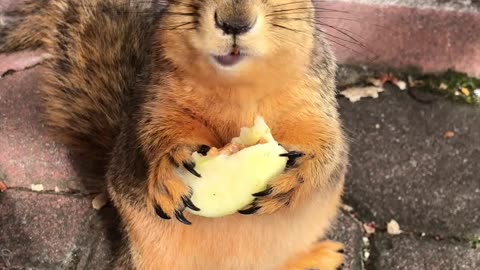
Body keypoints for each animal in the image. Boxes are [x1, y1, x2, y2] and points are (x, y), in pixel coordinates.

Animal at [1, 0, 350, 270]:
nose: (234, 22)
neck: (236, 85)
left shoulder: (314, 100)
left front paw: (298, 178)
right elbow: (156, 136)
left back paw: (317, 257)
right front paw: (170, 168)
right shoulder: (156, 101)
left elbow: (330, 147)